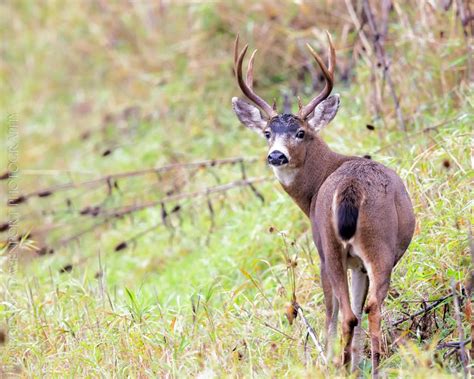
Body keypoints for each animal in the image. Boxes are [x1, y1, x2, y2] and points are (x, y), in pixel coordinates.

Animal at [232, 32, 414, 378]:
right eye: (267, 133)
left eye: (301, 132)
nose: (276, 155)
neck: (316, 187)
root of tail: (350, 187)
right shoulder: (354, 263)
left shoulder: (325, 254)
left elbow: (335, 311)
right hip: (368, 246)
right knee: (363, 309)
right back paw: (369, 364)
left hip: (333, 247)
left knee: (348, 312)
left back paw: (350, 365)